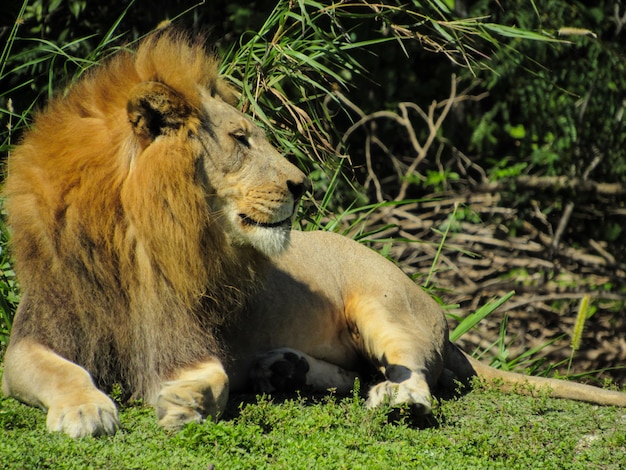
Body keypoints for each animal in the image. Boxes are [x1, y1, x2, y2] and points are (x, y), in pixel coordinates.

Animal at [1, 31, 624, 438]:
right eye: (240, 138)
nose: (301, 184)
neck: (131, 237)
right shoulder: (34, 334)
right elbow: (62, 368)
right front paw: (86, 409)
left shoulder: (188, 336)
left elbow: (211, 377)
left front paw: (184, 402)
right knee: (352, 375)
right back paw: (282, 371)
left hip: (384, 303)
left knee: (410, 372)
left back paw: (394, 400)